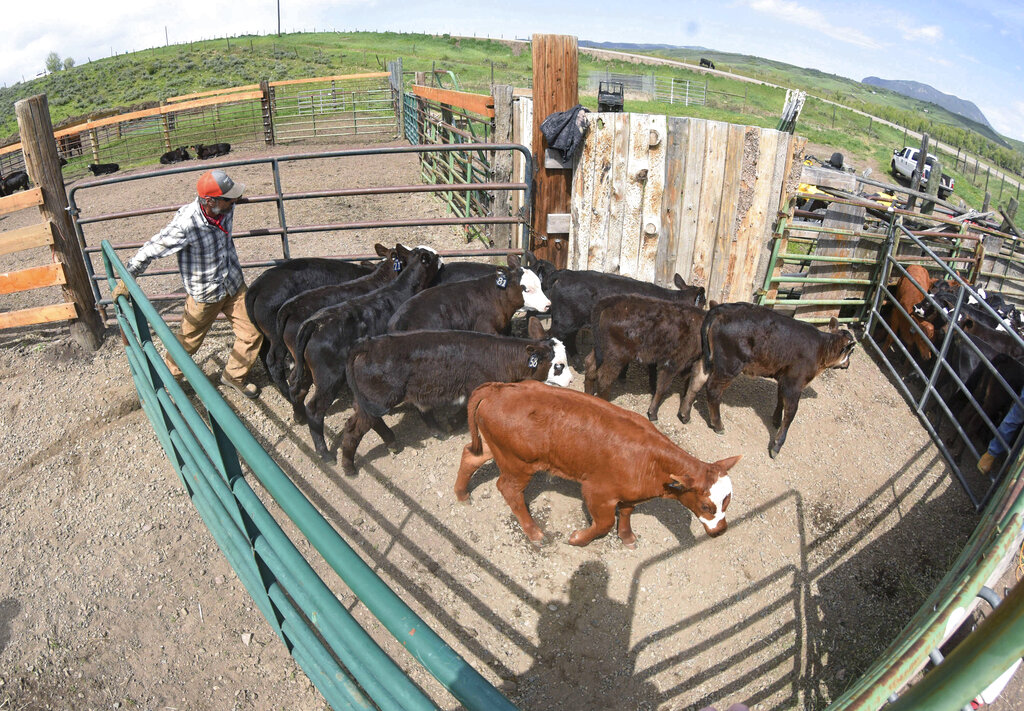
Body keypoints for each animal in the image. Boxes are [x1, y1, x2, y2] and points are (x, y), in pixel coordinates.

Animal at [454, 381, 737, 549]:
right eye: (706, 505)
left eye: (727, 501)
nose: (722, 530)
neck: (653, 463)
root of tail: (500, 388)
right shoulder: (597, 492)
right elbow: (604, 524)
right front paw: (578, 539)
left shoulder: (629, 492)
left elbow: (626, 512)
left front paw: (627, 537)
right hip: (518, 463)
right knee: (509, 489)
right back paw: (535, 534)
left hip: (493, 446)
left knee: (470, 456)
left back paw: (462, 494)